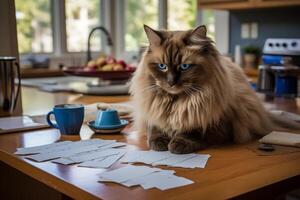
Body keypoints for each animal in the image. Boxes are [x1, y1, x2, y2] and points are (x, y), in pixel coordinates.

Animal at [131, 24, 300, 154]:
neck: (176, 103)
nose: (171, 82)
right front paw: (159, 143)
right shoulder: (152, 112)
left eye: (184, 67)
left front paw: (178, 144)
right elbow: (155, 129)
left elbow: (194, 131)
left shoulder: (219, 125)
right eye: (162, 66)